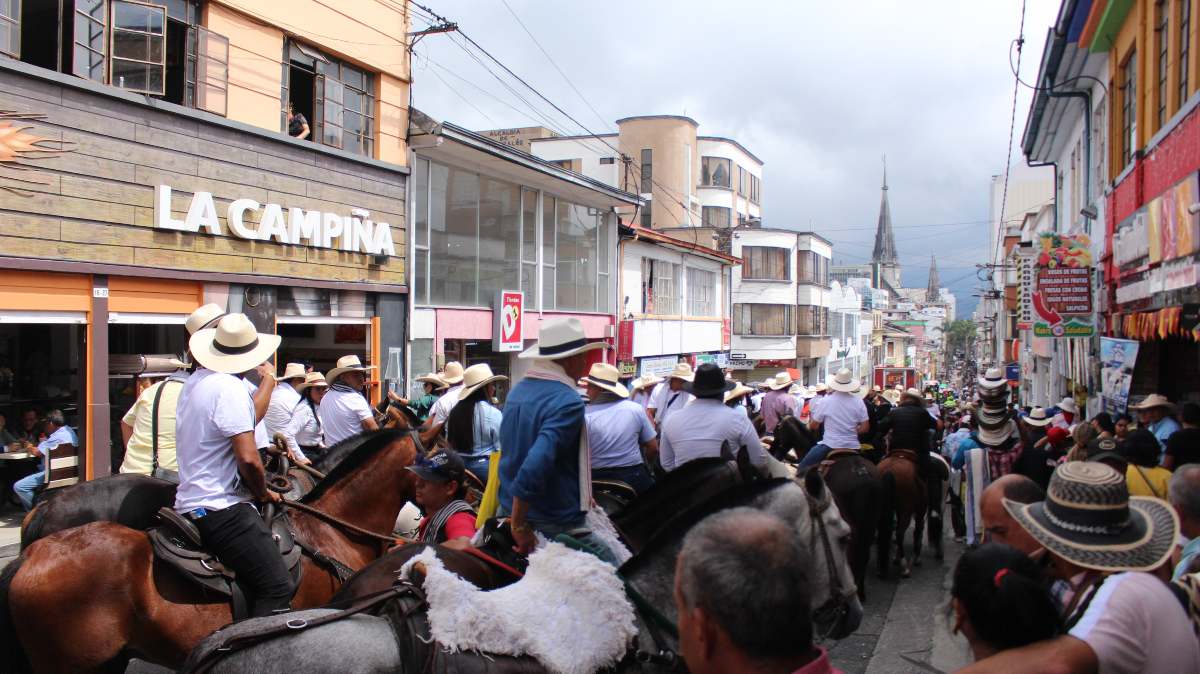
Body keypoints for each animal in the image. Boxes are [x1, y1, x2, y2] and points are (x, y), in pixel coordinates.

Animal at [878, 446, 921, 578]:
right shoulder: (920, 510)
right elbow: (918, 530)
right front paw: (917, 557)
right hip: (906, 509)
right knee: (900, 533)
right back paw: (904, 566)